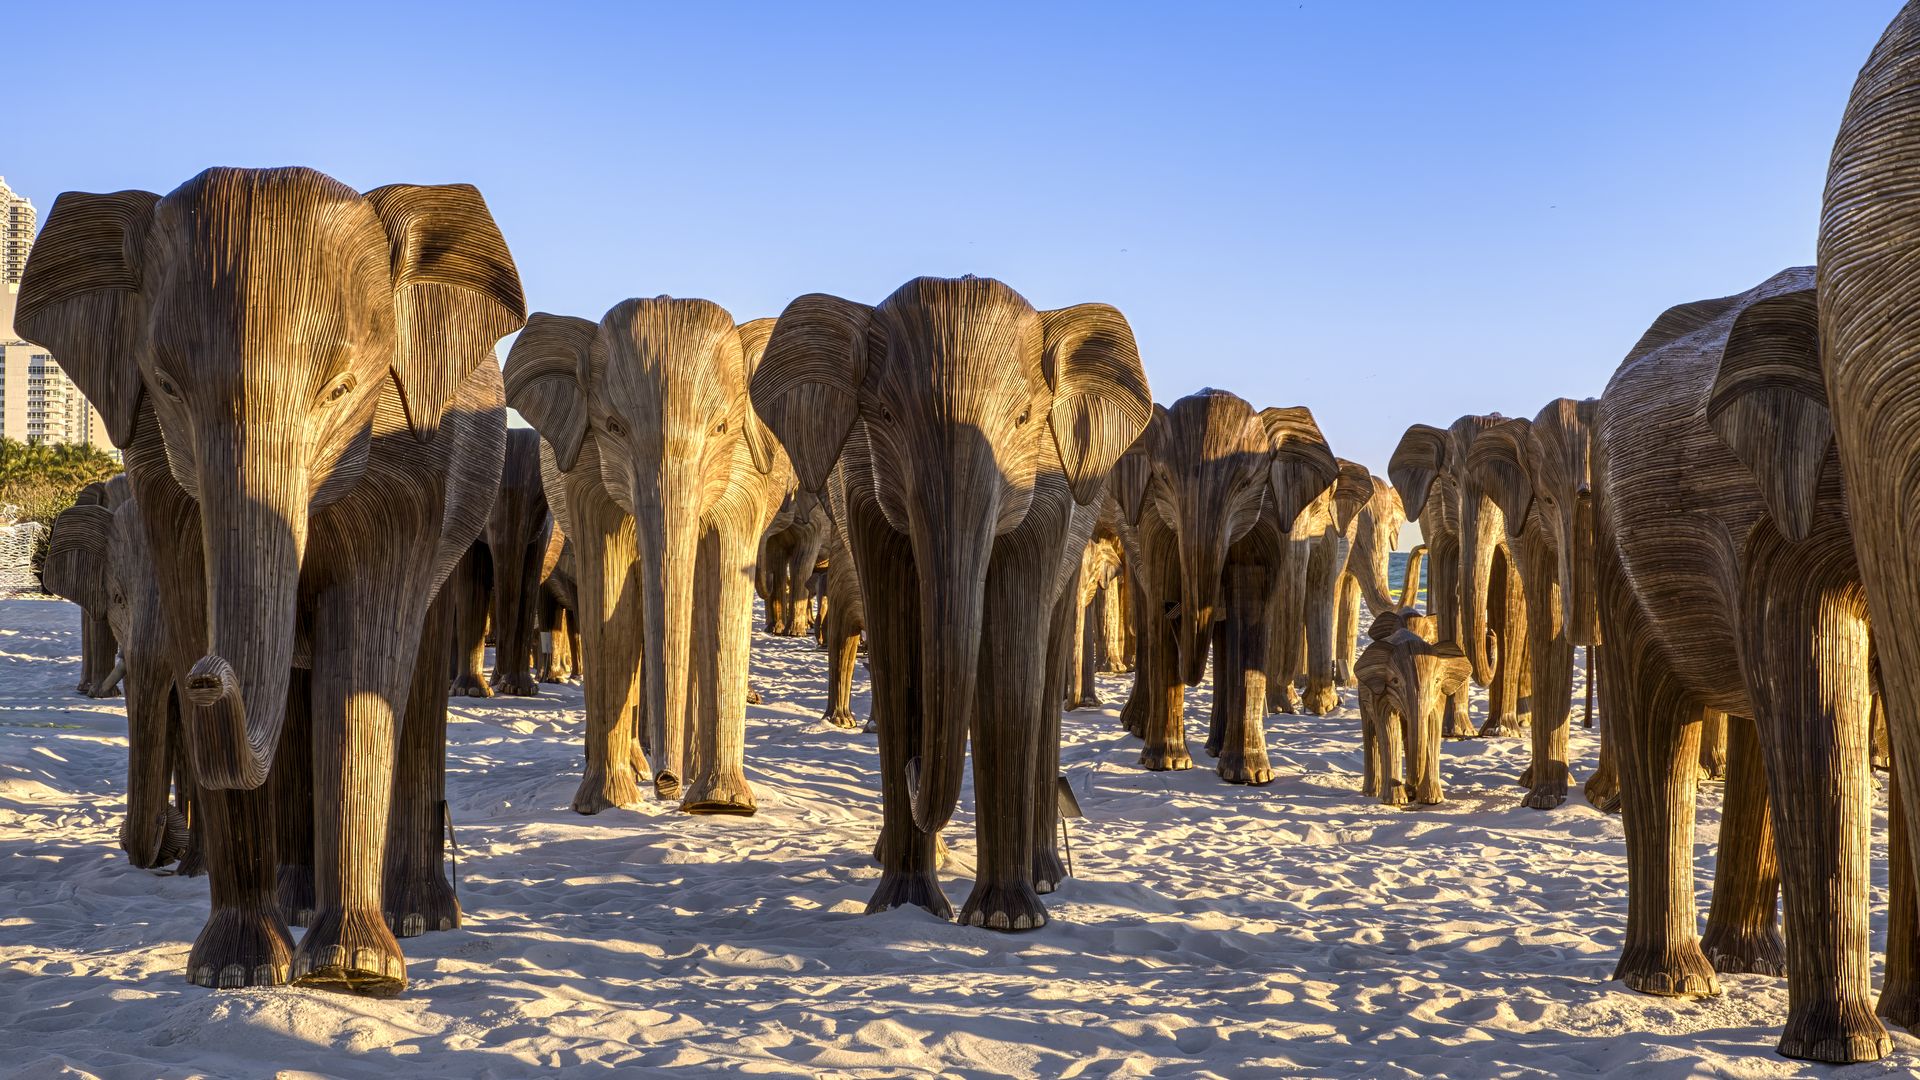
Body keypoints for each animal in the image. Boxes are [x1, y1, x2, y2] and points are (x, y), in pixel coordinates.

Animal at [507, 299, 792, 816]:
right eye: (613, 428)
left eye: (721, 427)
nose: (666, 780)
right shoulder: (585, 467)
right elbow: (609, 592)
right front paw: (604, 805)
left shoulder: (747, 472)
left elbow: (724, 586)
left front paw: (723, 808)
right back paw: (637, 773)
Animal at [749, 276, 1152, 930]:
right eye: (885, 415)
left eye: (1023, 417)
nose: (916, 773)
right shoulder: (863, 487)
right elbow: (899, 659)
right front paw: (902, 907)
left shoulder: (1047, 493)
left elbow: (1008, 668)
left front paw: (1007, 922)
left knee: (1042, 680)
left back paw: (1046, 879)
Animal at [1117, 389, 1339, 784]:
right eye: (1162, 478)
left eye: (1247, 483)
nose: (1175, 608)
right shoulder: (1153, 522)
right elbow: (1160, 598)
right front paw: (1167, 764)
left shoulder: (1265, 522)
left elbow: (1249, 616)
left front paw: (1251, 776)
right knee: (1149, 616)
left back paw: (1216, 750)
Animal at [1356, 597, 1468, 806]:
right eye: (1395, 681)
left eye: (1437, 681)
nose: (1410, 787)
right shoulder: (1379, 691)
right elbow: (1388, 727)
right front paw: (1396, 801)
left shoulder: (1438, 694)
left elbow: (1431, 726)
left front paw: (1432, 800)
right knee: (1371, 730)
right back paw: (1371, 792)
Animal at [1591, 265, 1883, 1061]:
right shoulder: (1779, 521)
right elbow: (1817, 708)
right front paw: (1850, 1050)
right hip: (1622, 556)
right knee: (1660, 721)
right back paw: (1674, 983)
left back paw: (1749, 963)